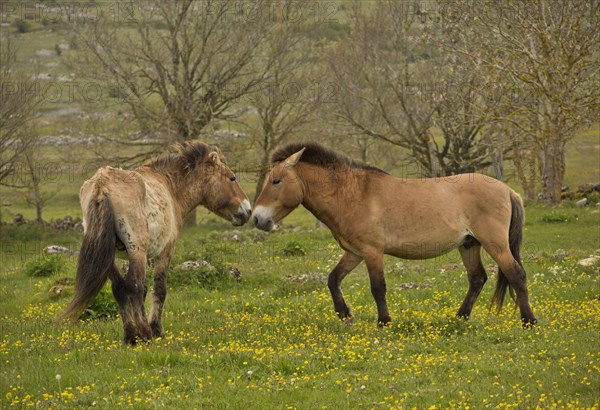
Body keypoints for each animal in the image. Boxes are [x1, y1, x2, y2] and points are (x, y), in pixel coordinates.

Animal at [64, 143, 252, 344]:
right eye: (232, 178)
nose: (247, 210)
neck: (170, 187)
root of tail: (101, 186)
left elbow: (143, 290)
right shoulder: (165, 250)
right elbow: (158, 289)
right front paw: (156, 330)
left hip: (111, 256)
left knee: (119, 289)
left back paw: (130, 335)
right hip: (136, 251)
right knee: (134, 287)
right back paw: (144, 334)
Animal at [252, 143, 536, 328]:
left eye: (276, 181)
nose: (256, 218)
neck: (352, 194)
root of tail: (508, 190)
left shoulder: (372, 252)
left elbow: (378, 288)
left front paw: (384, 321)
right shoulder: (354, 252)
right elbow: (333, 280)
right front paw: (344, 314)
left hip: (494, 244)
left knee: (516, 274)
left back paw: (529, 321)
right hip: (469, 245)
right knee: (477, 278)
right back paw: (460, 317)